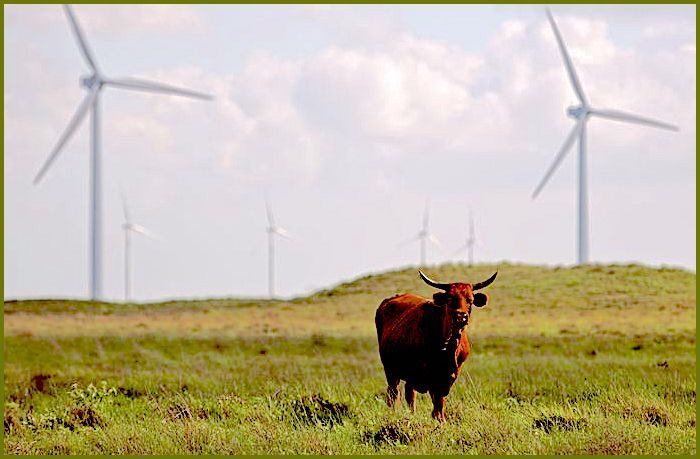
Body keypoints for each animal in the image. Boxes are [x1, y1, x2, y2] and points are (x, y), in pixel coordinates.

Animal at [375, 269, 497, 421]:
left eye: (470, 300)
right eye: (449, 299)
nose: (461, 316)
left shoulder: (449, 377)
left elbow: (439, 404)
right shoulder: (431, 377)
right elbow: (437, 403)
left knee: (409, 395)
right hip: (390, 370)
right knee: (394, 395)